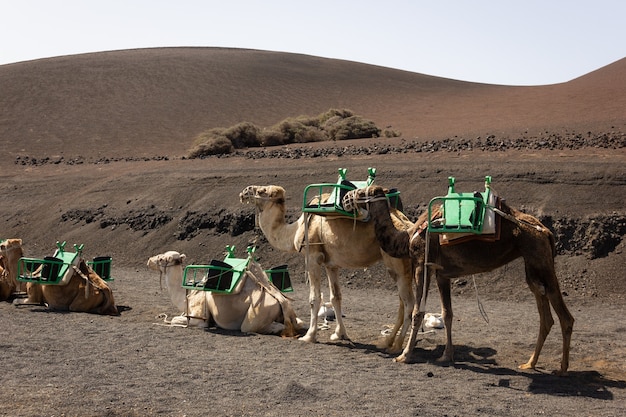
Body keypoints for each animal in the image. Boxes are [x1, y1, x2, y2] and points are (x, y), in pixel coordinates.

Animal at [147, 250, 302, 334]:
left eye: (161, 259)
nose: (149, 260)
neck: (187, 294)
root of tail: (282, 301)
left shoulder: (199, 319)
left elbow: (174, 320)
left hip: (257, 314)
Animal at [239, 184, 414, 350]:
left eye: (262, 191)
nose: (244, 192)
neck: (297, 229)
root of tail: (408, 226)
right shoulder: (331, 264)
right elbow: (335, 297)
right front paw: (339, 334)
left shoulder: (313, 257)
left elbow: (315, 298)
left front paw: (309, 336)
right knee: (402, 303)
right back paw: (388, 341)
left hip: (396, 263)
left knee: (408, 304)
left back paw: (397, 346)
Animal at [344, 184, 572, 374]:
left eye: (364, 192)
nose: (347, 198)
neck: (408, 236)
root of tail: (547, 232)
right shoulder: (442, 273)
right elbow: (447, 314)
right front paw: (446, 356)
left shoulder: (422, 264)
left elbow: (418, 312)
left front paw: (404, 356)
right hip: (533, 267)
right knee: (545, 316)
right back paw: (530, 363)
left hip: (540, 260)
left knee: (565, 317)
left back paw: (561, 369)